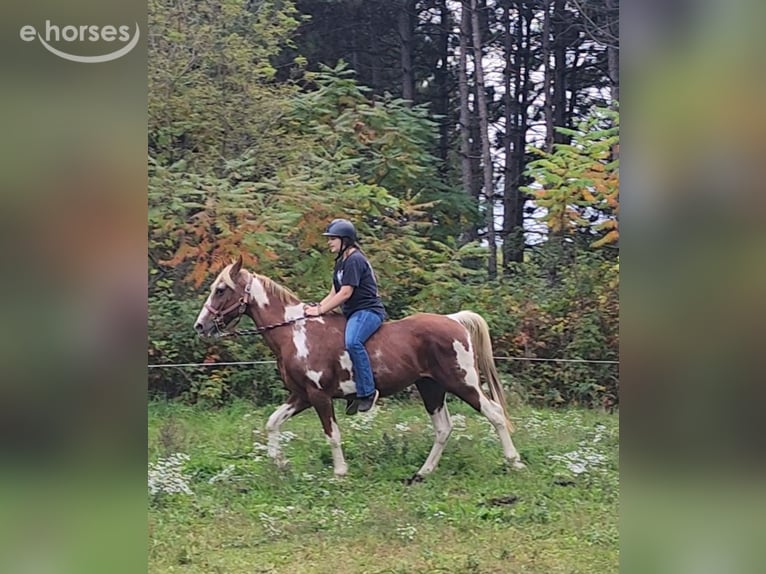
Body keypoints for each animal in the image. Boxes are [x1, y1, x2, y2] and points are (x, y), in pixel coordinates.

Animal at [193, 255, 525, 480]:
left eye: (220, 289)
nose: (201, 325)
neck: (295, 331)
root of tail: (454, 320)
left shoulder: (319, 396)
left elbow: (332, 434)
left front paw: (340, 472)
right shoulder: (301, 396)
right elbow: (273, 422)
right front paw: (280, 465)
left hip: (463, 383)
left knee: (495, 414)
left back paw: (515, 462)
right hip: (431, 387)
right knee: (443, 429)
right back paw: (423, 472)